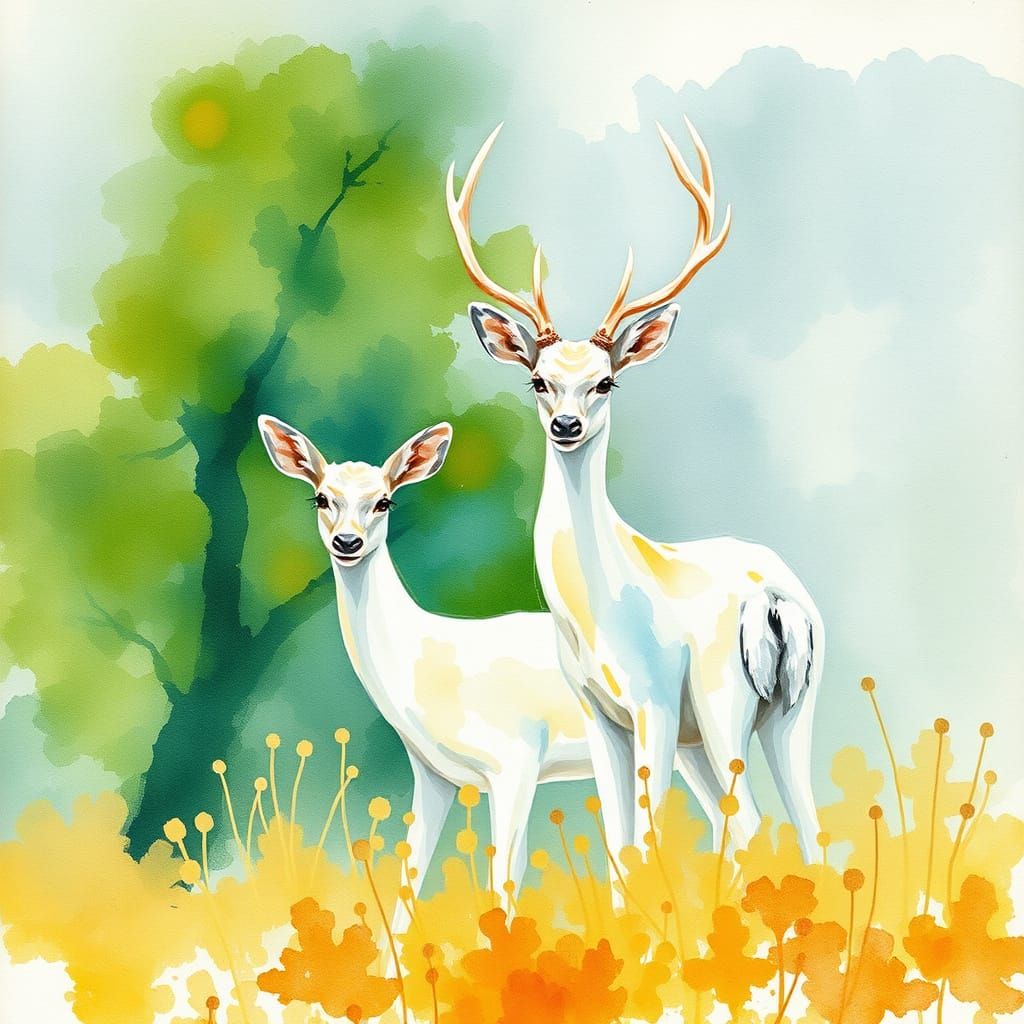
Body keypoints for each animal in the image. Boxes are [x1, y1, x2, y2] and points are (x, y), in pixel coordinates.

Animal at [258, 415, 593, 934]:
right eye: (321, 497)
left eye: (384, 500)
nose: (348, 542)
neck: (423, 665)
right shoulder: (432, 774)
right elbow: (409, 879)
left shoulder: (516, 759)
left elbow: (503, 882)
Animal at [446, 119, 824, 866]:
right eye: (537, 380)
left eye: (607, 380)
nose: (565, 425)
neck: (602, 612)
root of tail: (775, 599)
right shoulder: (599, 710)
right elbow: (621, 849)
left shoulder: (651, 699)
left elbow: (647, 843)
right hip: (785, 713)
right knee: (799, 828)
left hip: (720, 699)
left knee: (752, 826)